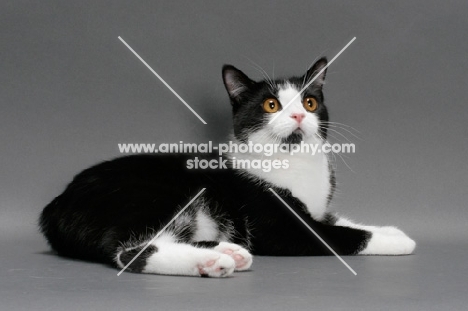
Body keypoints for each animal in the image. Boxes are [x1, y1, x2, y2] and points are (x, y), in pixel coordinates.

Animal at [39, 58, 414, 278]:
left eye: (310, 102)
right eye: (271, 105)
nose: (298, 115)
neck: (294, 160)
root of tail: (55, 205)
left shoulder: (317, 209)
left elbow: (338, 220)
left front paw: (391, 229)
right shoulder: (278, 228)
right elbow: (342, 235)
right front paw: (397, 241)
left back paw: (228, 250)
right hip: (152, 194)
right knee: (132, 250)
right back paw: (212, 262)